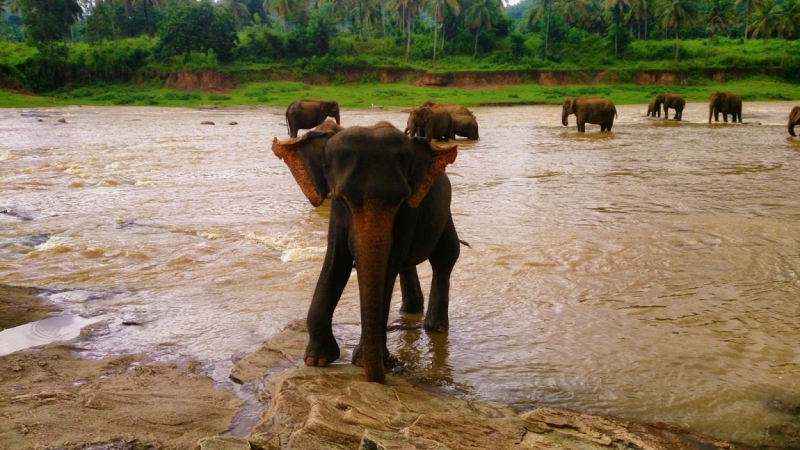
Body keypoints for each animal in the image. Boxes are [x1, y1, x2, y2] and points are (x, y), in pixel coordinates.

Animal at [270, 121, 460, 382]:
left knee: (445, 255)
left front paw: (362, 360)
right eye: (341, 198)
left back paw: (436, 327)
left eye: (401, 200)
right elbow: (335, 262)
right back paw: (410, 311)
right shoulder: (336, 215)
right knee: (409, 265)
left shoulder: (409, 212)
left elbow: (387, 269)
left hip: (445, 213)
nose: (378, 374)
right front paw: (317, 360)